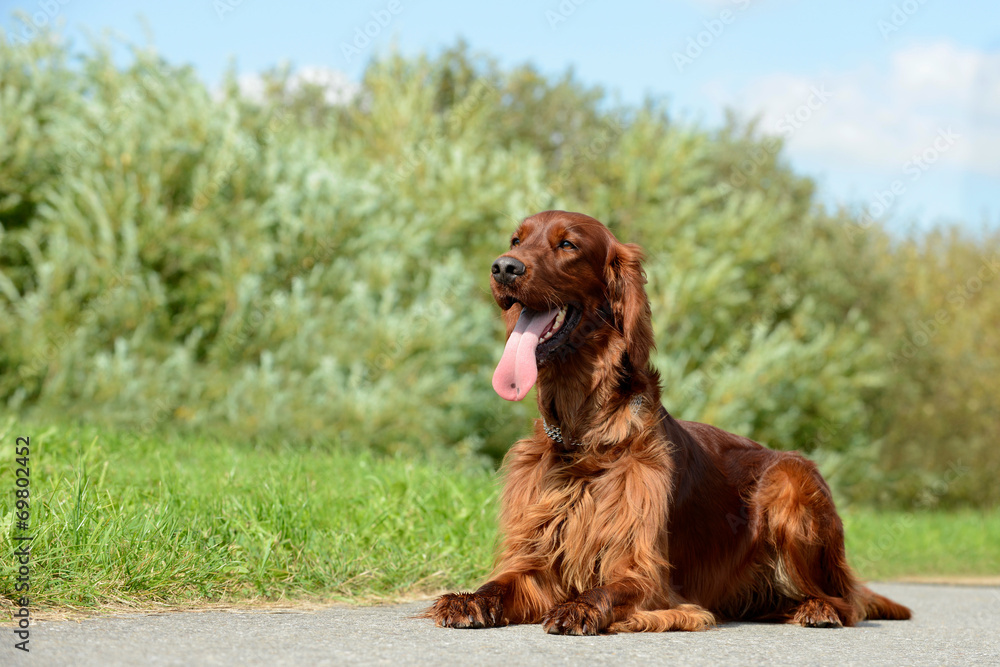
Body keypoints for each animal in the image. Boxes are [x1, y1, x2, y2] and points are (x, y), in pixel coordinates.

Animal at [426, 211, 912, 636]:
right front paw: (467, 599)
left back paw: (817, 609)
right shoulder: (536, 560)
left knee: (846, 602)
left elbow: (610, 590)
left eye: (567, 245)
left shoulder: (646, 575)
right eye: (516, 240)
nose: (503, 267)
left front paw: (580, 607)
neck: (584, 436)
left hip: (790, 480)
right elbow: (500, 583)